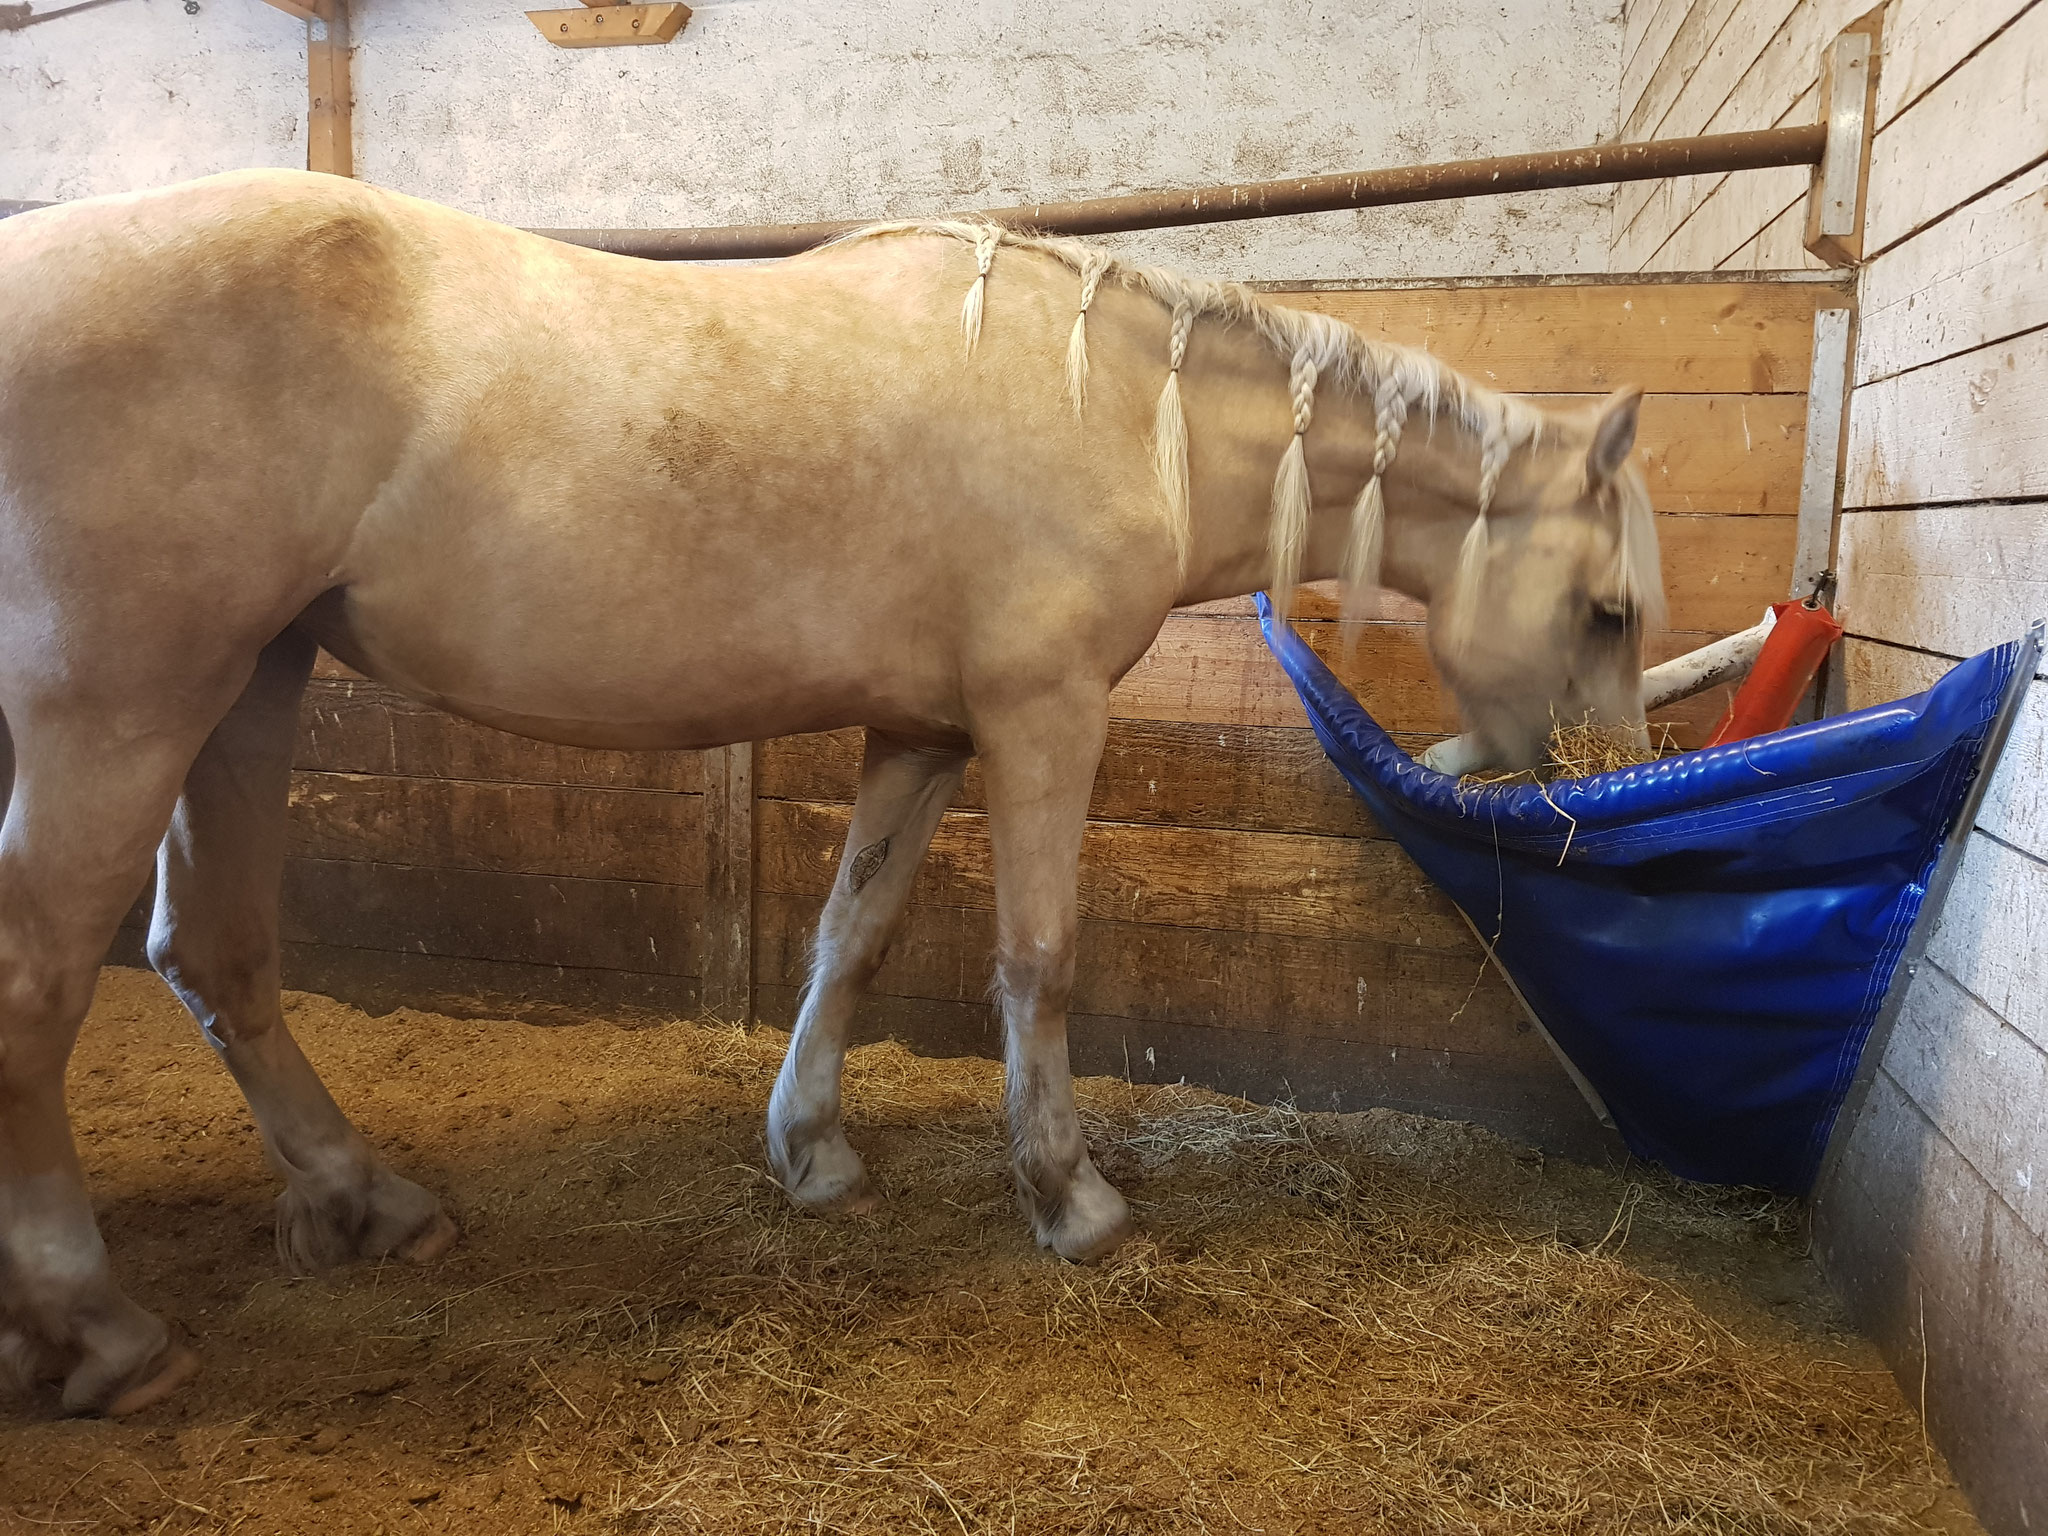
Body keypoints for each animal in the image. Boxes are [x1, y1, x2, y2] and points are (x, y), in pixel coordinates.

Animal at [0, 171, 1662, 1417]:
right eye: (1608, 612)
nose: (1586, 789)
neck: (1121, 411)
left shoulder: (920, 736)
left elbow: (849, 942)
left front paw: (815, 1159)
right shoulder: (1043, 720)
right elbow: (1038, 962)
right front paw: (1076, 1206)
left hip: (249, 683)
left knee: (216, 957)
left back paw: (366, 1205)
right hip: (124, 709)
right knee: (44, 987)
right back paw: (99, 1327)